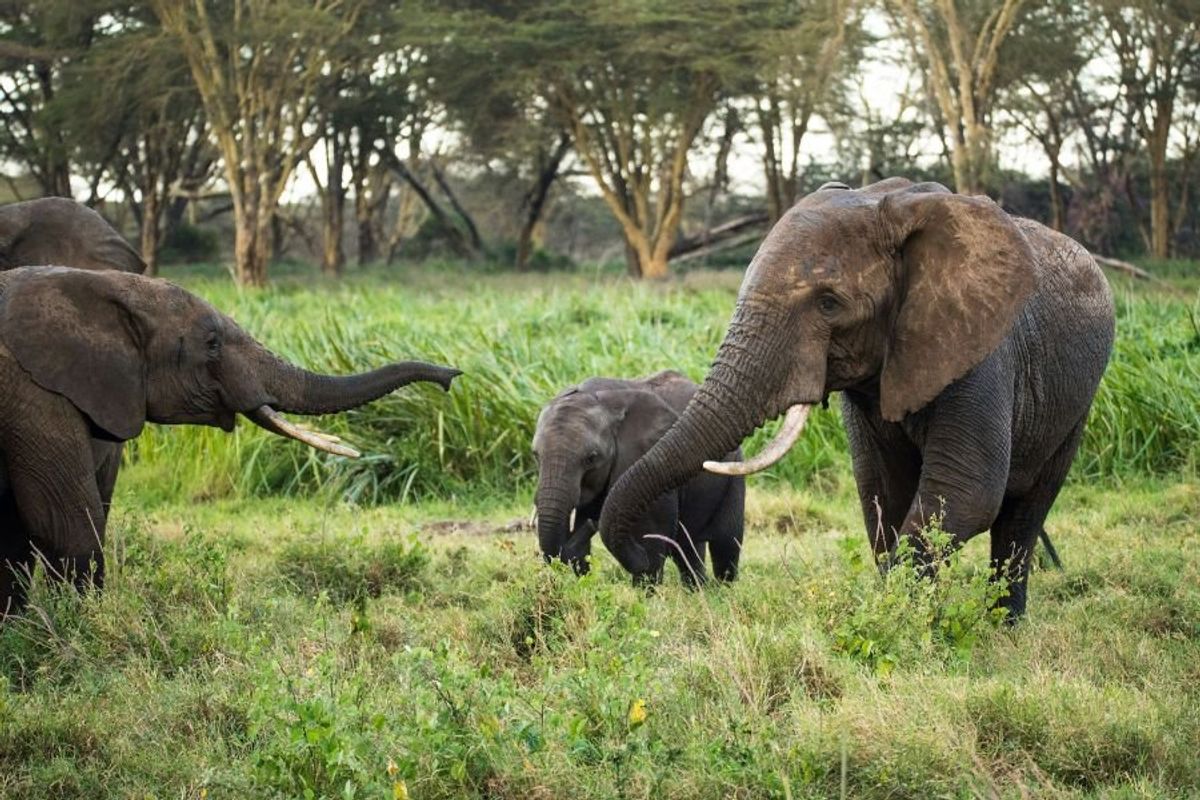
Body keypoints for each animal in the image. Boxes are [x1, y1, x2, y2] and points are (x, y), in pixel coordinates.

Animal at [0, 265, 460, 613]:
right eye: (212, 343)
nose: (450, 376)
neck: (95, 285)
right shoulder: (33, 394)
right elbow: (66, 525)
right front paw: (80, 628)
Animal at [532, 370, 745, 586]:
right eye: (536, 455)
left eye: (591, 458)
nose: (592, 524)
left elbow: (652, 537)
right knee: (688, 548)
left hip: (733, 471)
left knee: (725, 543)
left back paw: (723, 588)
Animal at [598, 178, 1115, 619]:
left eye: (829, 304)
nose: (646, 564)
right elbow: (881, 491)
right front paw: (904, 614)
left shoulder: (983, 349)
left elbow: (964, 490)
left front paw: (898, 621)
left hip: (1076, 403)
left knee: (1024, 512)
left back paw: (1004, 626)